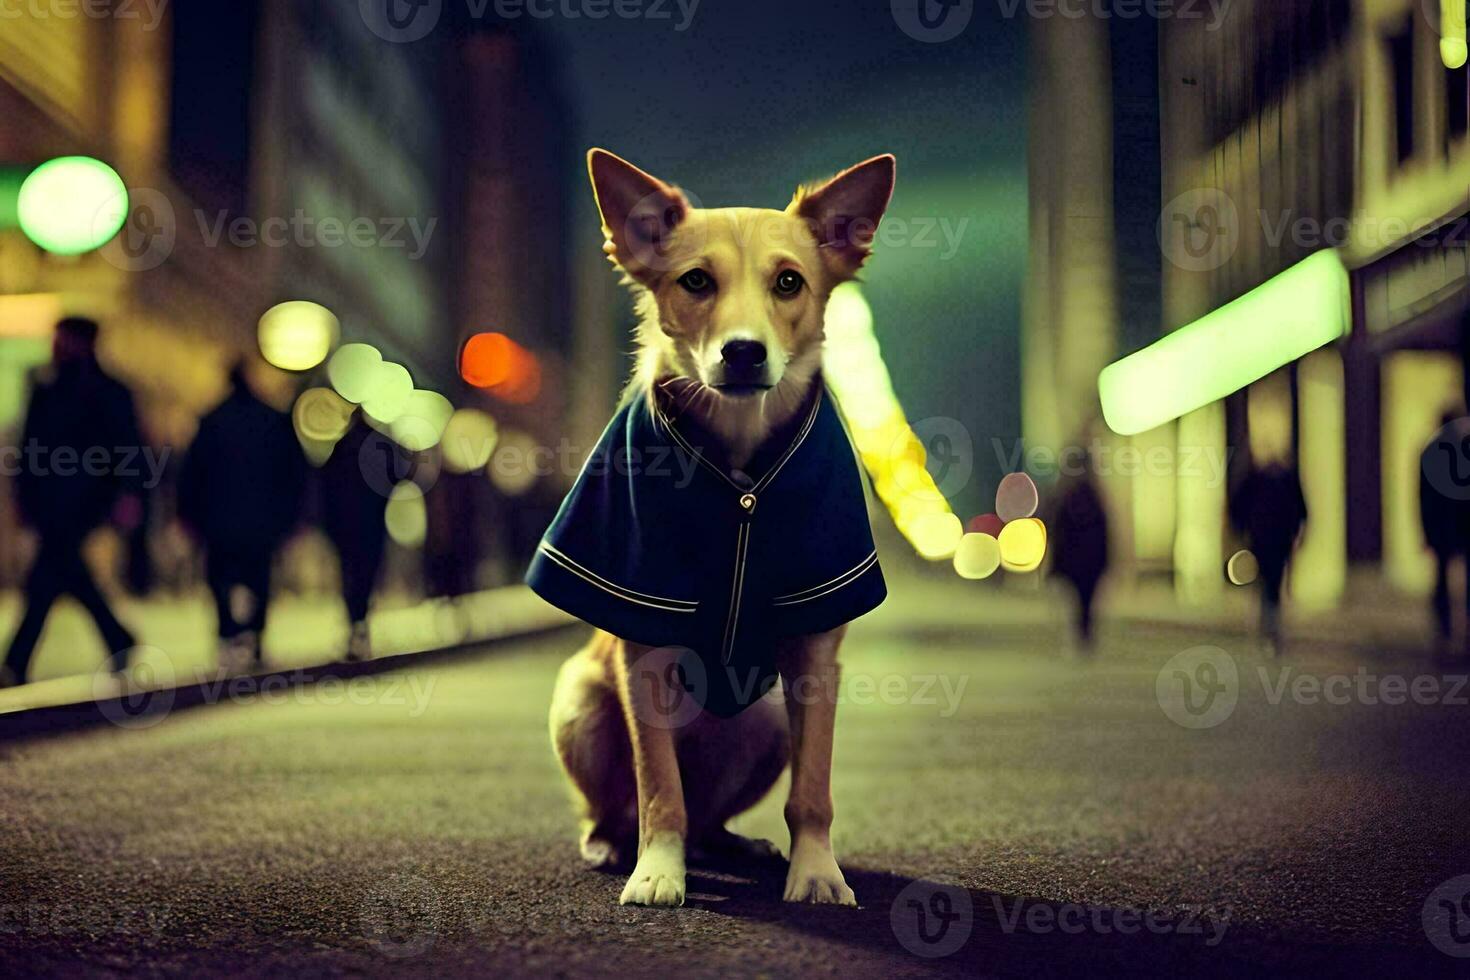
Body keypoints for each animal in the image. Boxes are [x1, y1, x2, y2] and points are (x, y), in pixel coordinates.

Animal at [532, 149, 893, 910]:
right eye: (696, 281)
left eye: (789, 282)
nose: (744, 352)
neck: (739, 463)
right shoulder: (643, 646)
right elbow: (658, 787)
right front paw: (657, 872)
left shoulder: (817, 651)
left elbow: (812, 791)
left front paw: (816, 871)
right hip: (577, 700)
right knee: (626, 808)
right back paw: (615, 844)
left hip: (768, 717)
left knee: (707, 817)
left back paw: (732, 844)